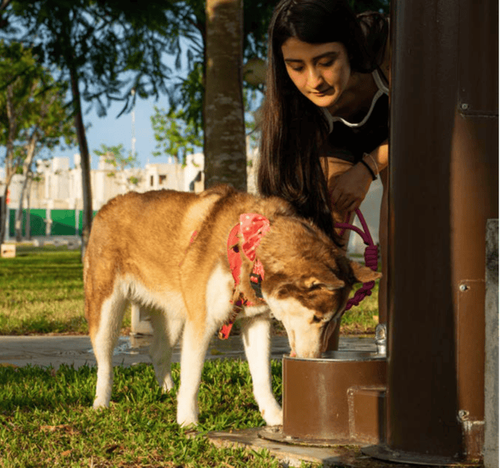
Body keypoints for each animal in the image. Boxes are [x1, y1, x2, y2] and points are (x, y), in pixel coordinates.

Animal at [84, 185, 378, 426]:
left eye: (333, 321)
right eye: (318, 318)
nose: (314, 358)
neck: (252, 248)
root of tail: (107, 206)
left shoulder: (256, 322)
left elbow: (262, 377)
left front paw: (274, 417)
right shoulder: (201, 323)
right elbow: (193, 377)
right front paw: (188, 422)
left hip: (174, 316)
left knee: (157, 352)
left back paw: (168, 391)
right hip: (107, 310)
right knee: (105, 362)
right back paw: (101, 403)